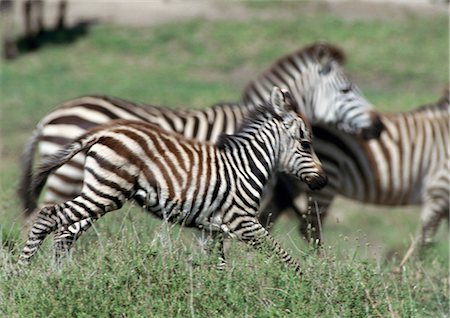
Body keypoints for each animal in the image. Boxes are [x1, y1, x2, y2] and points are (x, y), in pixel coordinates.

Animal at [19, 87, 326, 274]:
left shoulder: (212, 229)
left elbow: (220, 269)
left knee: (65, 233)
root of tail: (103, 132)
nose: (322, 181)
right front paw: (305, 287)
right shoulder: (243, 222)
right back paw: (23, 274)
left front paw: (217, 296)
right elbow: (284, 256)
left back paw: (59, 277)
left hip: (100, 192)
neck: (245, 166)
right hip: (103, 192)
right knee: (48, 217)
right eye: (306, 144)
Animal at [264, 89, 450, 260]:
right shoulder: (439, 190)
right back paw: (322, 263)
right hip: (325, 182)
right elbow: (423, 238)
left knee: (268, 216)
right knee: (310, 227)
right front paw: (406, 270)